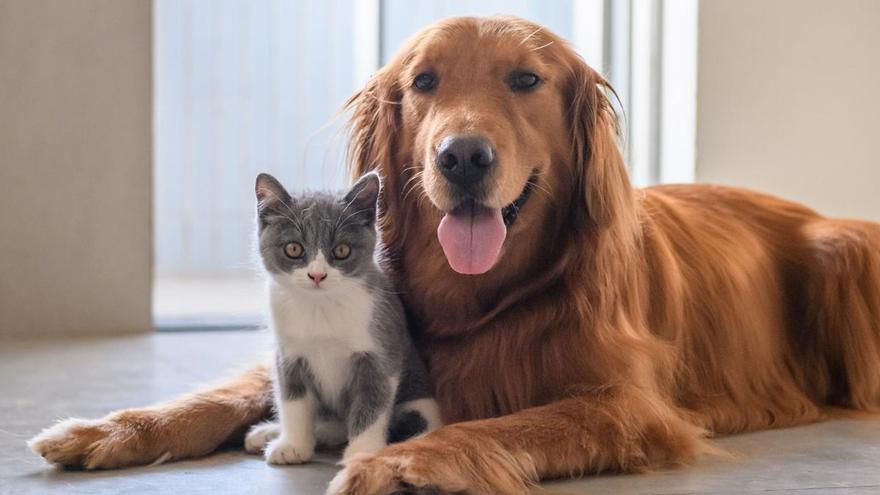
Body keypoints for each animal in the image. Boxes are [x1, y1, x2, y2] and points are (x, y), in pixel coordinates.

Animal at [246, 170, 440, 464]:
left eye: (341, 250)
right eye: (293, 248)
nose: (317, 275)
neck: (320, 308)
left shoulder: (379, 353)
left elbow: (371, 403)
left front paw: (361, 452)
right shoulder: (289, 355)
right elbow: (294, 401)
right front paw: (293, 444)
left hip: (420, 406)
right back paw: (268, 432)